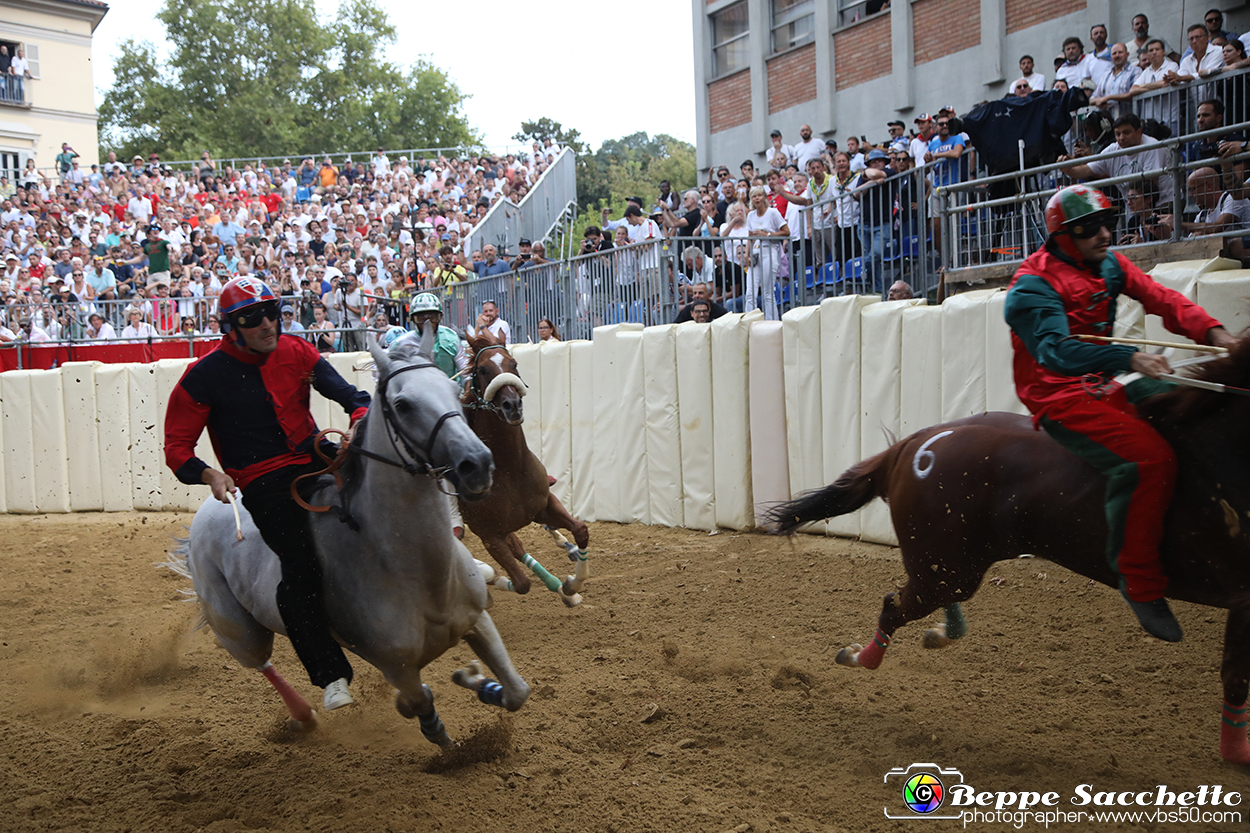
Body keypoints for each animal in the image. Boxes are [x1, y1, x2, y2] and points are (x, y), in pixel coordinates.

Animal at [175, 327, 527, 740]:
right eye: (403, 405)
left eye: (455, 391)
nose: (478, 463)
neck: (419, 576)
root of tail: (209, 511)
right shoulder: (398, 668)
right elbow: (421, 705)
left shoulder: (477, 621)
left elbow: (517, 692)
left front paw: (477, 681)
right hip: (239, 631)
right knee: (263, 664)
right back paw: (306, 713)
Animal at [460, 327, 590, 607]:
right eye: (483, 369)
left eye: (514, 364)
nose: (512, 405)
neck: (508, 469)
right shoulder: (488, 535)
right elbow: (521, 584)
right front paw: (492, 581)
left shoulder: (543, 505)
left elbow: (581, 530)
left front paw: (572, 585)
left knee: (519, 546)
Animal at [765, 345, 1250, 765]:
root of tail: (912, 445)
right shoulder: (1243, 597)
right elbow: (1236, 675)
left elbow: (1235, 673)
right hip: (950, 565)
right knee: (895, 603)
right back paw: (861, 656)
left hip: (952, 562)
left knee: (920, 597)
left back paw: (935, 634)